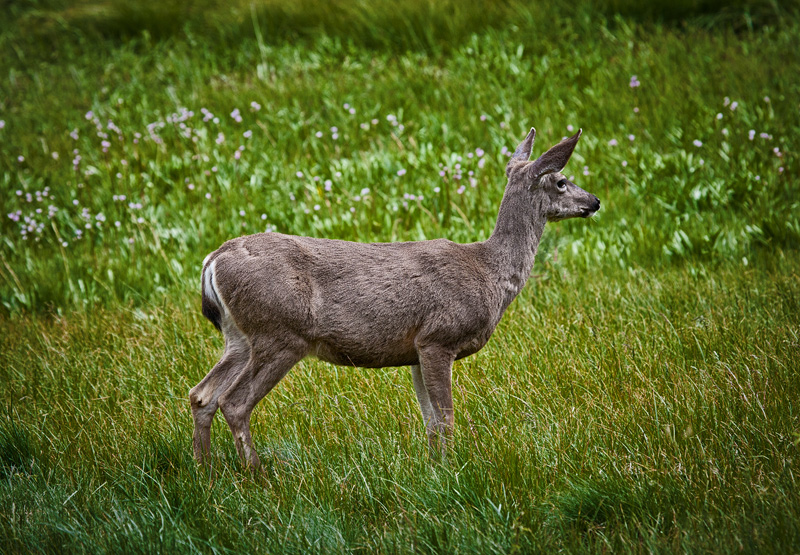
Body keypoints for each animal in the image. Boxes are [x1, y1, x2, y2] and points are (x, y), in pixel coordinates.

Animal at [189, 128, 600, 466]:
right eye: (562, 181)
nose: (595, 201)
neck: (489, 273)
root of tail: (214, 260)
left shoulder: (416, 350)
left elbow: (430, 420)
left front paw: (434, 469)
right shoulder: (439, 336)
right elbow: (446, 417)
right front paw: (452, 471)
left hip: (239, 337)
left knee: (201, 395)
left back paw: (205, 471)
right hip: (279, 331)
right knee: (234, 402)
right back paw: (255, 475)